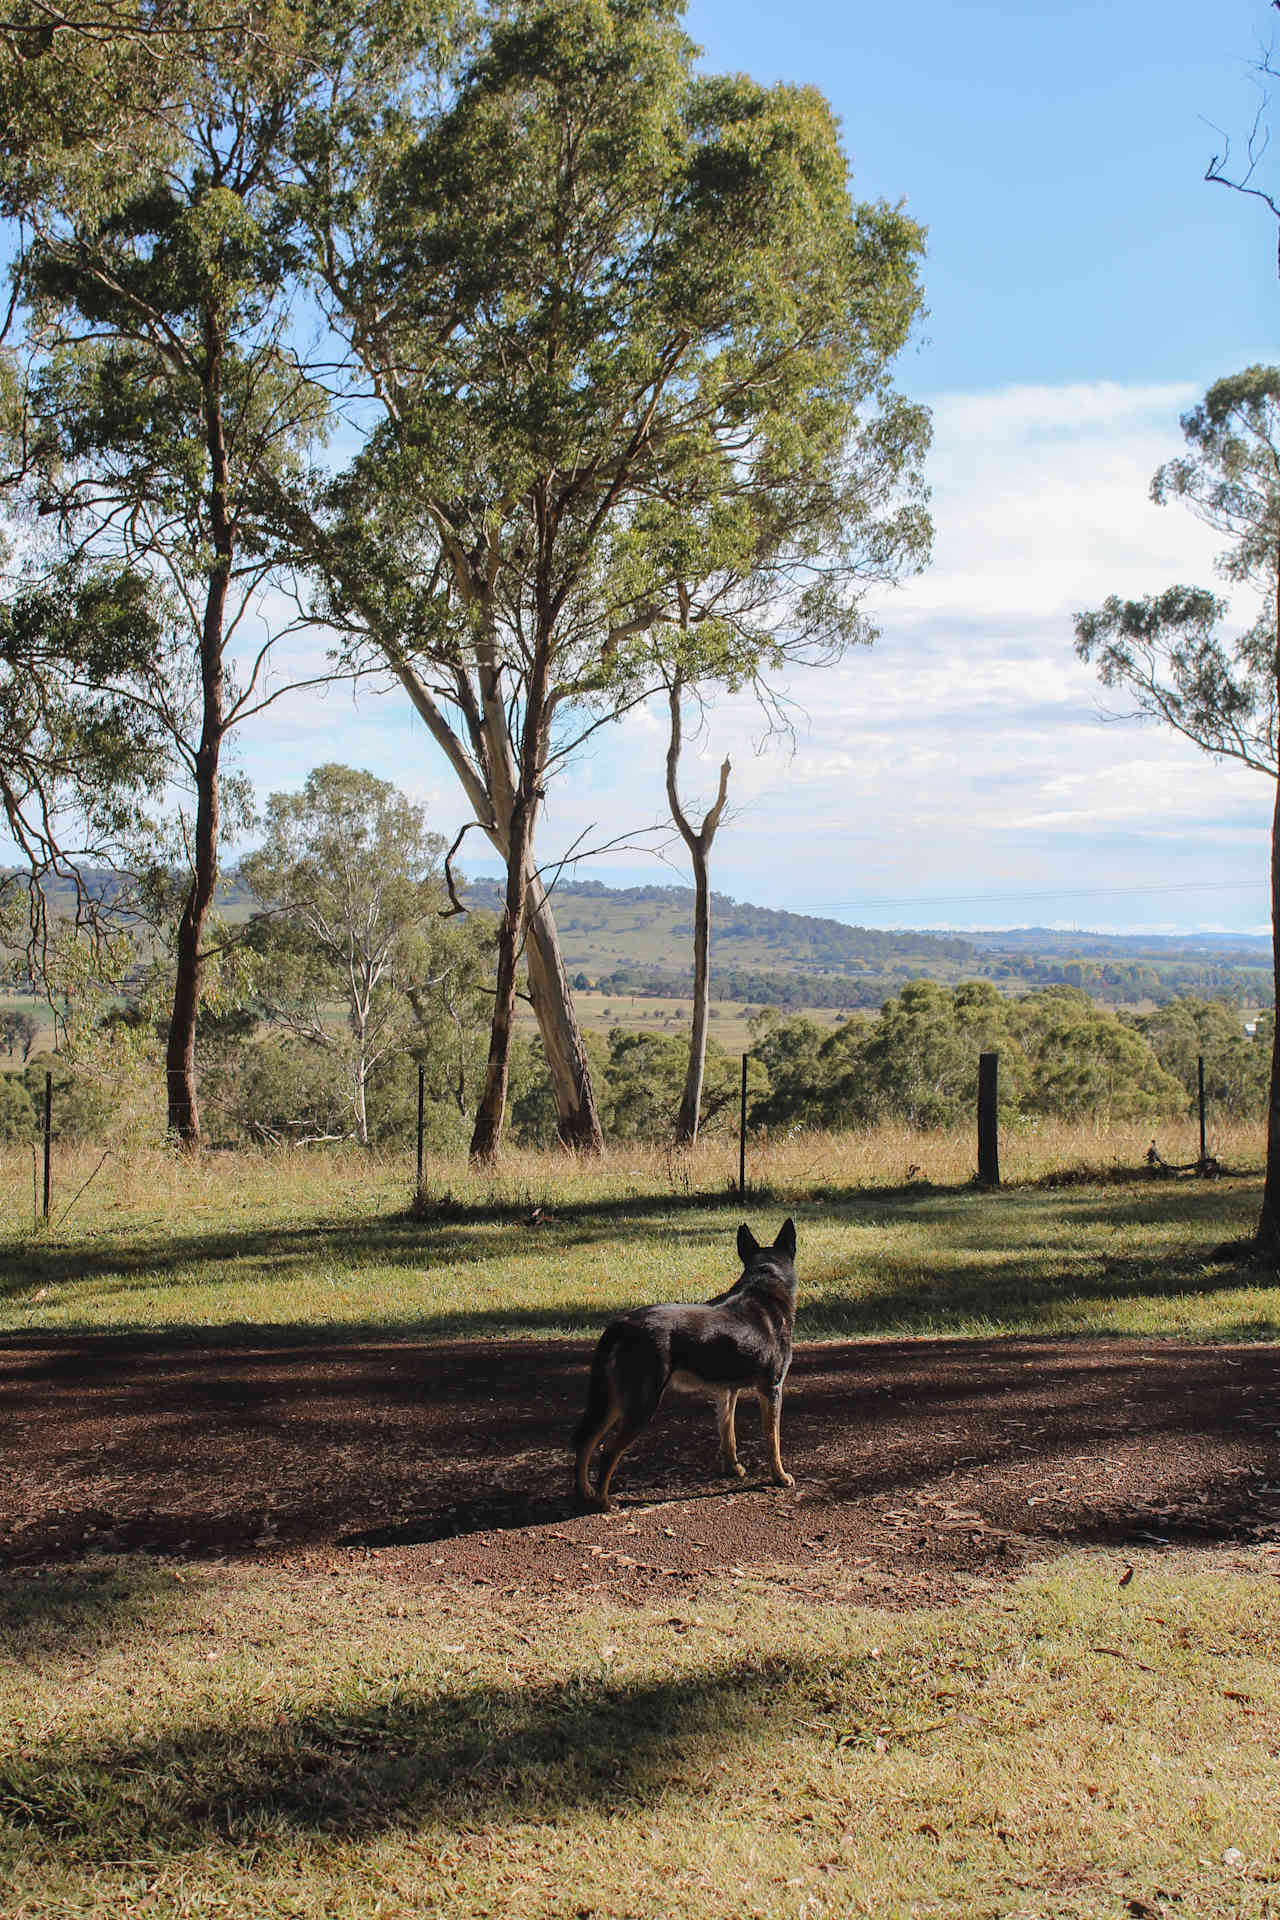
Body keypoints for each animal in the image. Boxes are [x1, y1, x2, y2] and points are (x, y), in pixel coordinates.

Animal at [571, 1221, 794, 1505]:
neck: (765, 1285)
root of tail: (622, 1324)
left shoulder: (727, 1391)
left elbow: (728, 1434)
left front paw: (732, 1468)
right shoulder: (771, 1389)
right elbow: (773, 1440)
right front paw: (780, 1476)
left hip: (613, 1401)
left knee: (585, 1440)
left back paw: (584, 1492)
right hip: (641, 1405)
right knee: (608, 1450)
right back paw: (603, 1502)